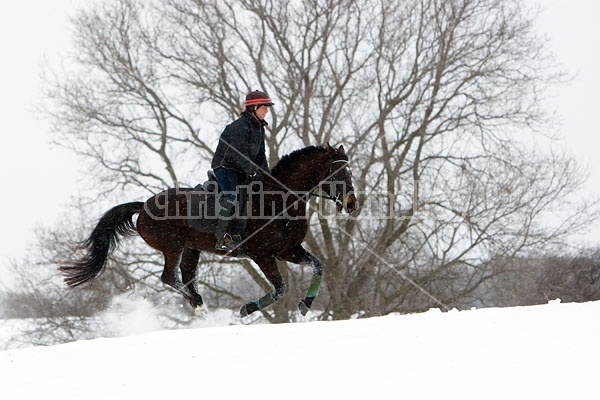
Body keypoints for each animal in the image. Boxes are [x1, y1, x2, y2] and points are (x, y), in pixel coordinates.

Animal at [57, 145, 356, 318]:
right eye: (338, 173)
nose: (352, 204)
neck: (280, 199)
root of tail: (143, 206)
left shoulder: (289, 251)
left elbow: (318, 266)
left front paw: (306, 305)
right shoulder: (263, 255)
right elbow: (280, 289)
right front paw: (246, 310)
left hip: (191, 249)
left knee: (187, 277)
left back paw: (200, 307)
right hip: (173, 246)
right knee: (169, 278)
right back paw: (201, 306)